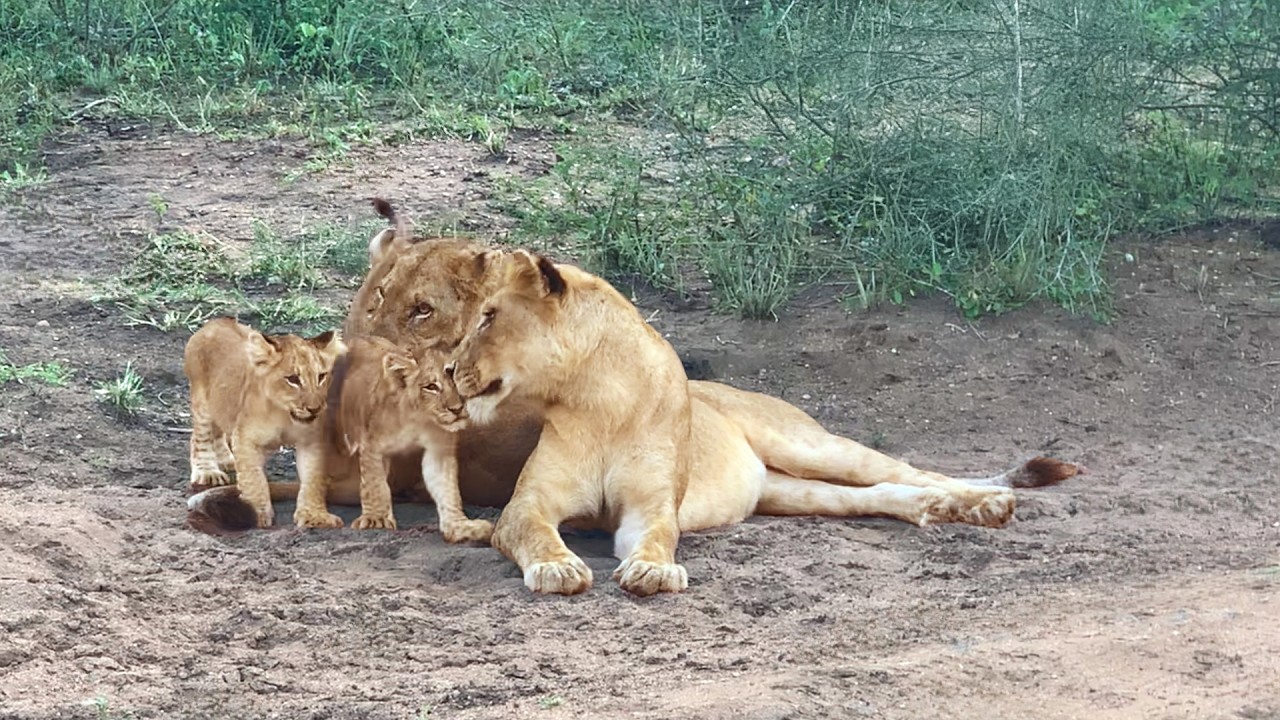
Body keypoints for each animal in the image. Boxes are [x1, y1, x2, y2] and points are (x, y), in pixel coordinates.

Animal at [182, 317, 346, 530]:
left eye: (321, 376)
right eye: (293, 379)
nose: (314, 408)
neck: (285, 415)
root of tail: (218, 320)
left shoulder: (312, 441)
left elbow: (313, 478)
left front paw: (314, 515)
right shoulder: (246, 438)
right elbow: (254, 479)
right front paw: (256, 512)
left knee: (219, 431)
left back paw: (227, 460)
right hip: (202, 402)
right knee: (200, 436)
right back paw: (208, 472)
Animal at [329, 335, 493, 542]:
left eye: (456, 380)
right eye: (431, 387)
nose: (456, 409)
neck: (418, 419)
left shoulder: (438, 450)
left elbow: (448, 489)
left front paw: (460, 525)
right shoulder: (372, 446)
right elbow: (375, 485)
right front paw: (377, 519)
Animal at [448, 250, 1081, 596]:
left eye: (489, 317)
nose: (450, 368)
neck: (597, 399)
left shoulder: (651, 508)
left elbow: (658, 538)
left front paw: (653, 573)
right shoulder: (528, 505)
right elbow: (535, 532)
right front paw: (558, 569)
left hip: (810, 445)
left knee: (913, 471)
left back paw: (987, 503)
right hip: (788, 491)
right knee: (882, 494)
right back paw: (947, 511)